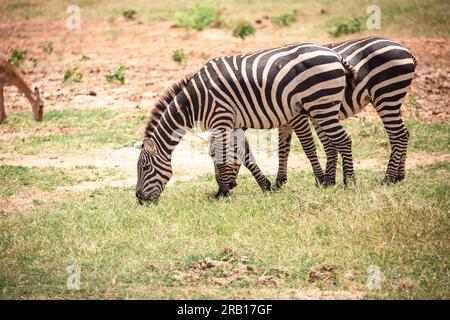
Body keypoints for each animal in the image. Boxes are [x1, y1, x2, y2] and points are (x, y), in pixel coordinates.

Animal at [135, 42, 354, 202]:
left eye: (144, 168)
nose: (139, 199)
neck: (195, 102)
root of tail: (334, 54)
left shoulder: (221, 118)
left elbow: (225, 154)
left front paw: (222, 193)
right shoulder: (234, 124)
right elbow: (245, 155)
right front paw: (265, 185)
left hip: (320, 104)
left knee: (344, 140)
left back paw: (349, 182)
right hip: (320, 107)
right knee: (334, 142)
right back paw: (334, 181)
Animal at [218, 36, 418, 189]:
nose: (230, 186)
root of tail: (407, 50)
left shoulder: (296, 116)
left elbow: (307, 147)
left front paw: (322, 180)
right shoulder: (285, 119)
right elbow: (283, 149)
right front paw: (280, 182)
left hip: (386, 95)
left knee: (398, 135)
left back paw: (389, 178)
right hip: (393, 99)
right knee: (404, 133)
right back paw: (399, 175)